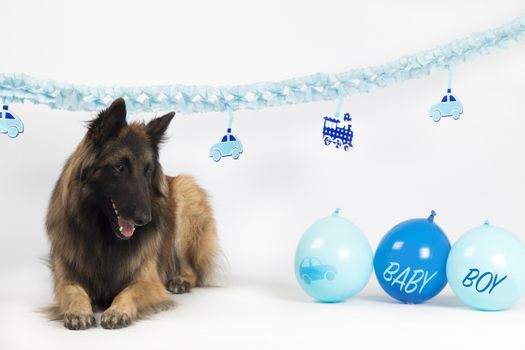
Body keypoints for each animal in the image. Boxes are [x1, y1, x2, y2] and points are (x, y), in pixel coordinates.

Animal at [44, 98, 218, 328]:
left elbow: (129, 292)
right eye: (119, 167)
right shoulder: (66, 278)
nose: (145, 219)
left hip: (185, 194)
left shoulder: (149, 281)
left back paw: (181, 281)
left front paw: (117, 310)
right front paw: (79, 311)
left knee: (193, 270)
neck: (105, 238)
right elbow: (74, 291)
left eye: (148, 170)